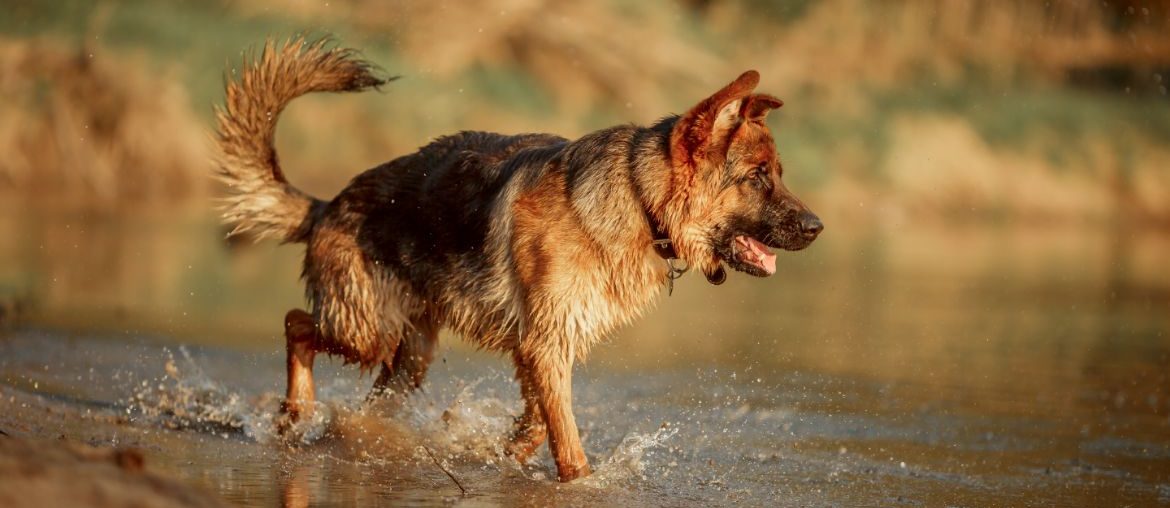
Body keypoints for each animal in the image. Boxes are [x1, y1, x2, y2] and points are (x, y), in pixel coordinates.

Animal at [217, 38, 823, 479]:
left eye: (779, 174)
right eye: (757, 178)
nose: (818, 228)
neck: (639, 199)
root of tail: (329, 205)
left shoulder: (547, 343)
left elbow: (537, 423)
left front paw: (508, 453)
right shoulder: (545, 344)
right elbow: (569, 447)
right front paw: (575, 479)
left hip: (409, 356)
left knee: (367, 400)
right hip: (369, 329)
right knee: (295, 323)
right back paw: (295, 414)